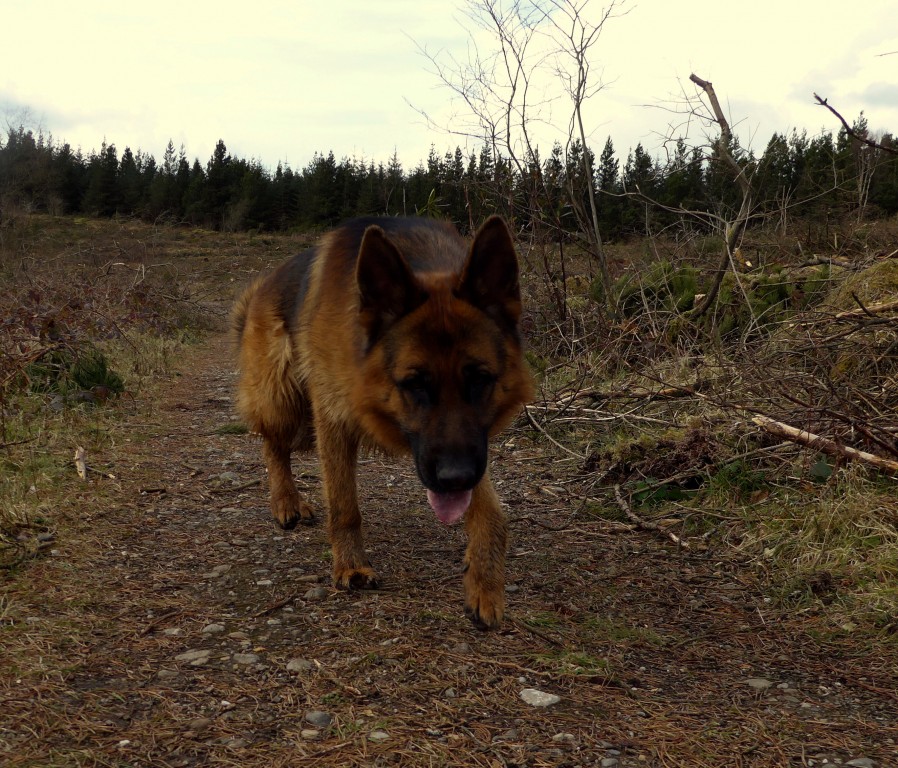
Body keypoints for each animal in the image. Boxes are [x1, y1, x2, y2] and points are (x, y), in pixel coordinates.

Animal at [232, 216, 533, 628]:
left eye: (479, 379)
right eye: (415, 383)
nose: (455, 478)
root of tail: (263, 285)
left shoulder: (471, 449)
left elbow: (492, 513)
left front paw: (485, 583)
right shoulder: (333, 420)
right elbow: (344, 506)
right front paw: (351, 565)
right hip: (285, 401)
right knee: (273, 444)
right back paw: (286, 501)